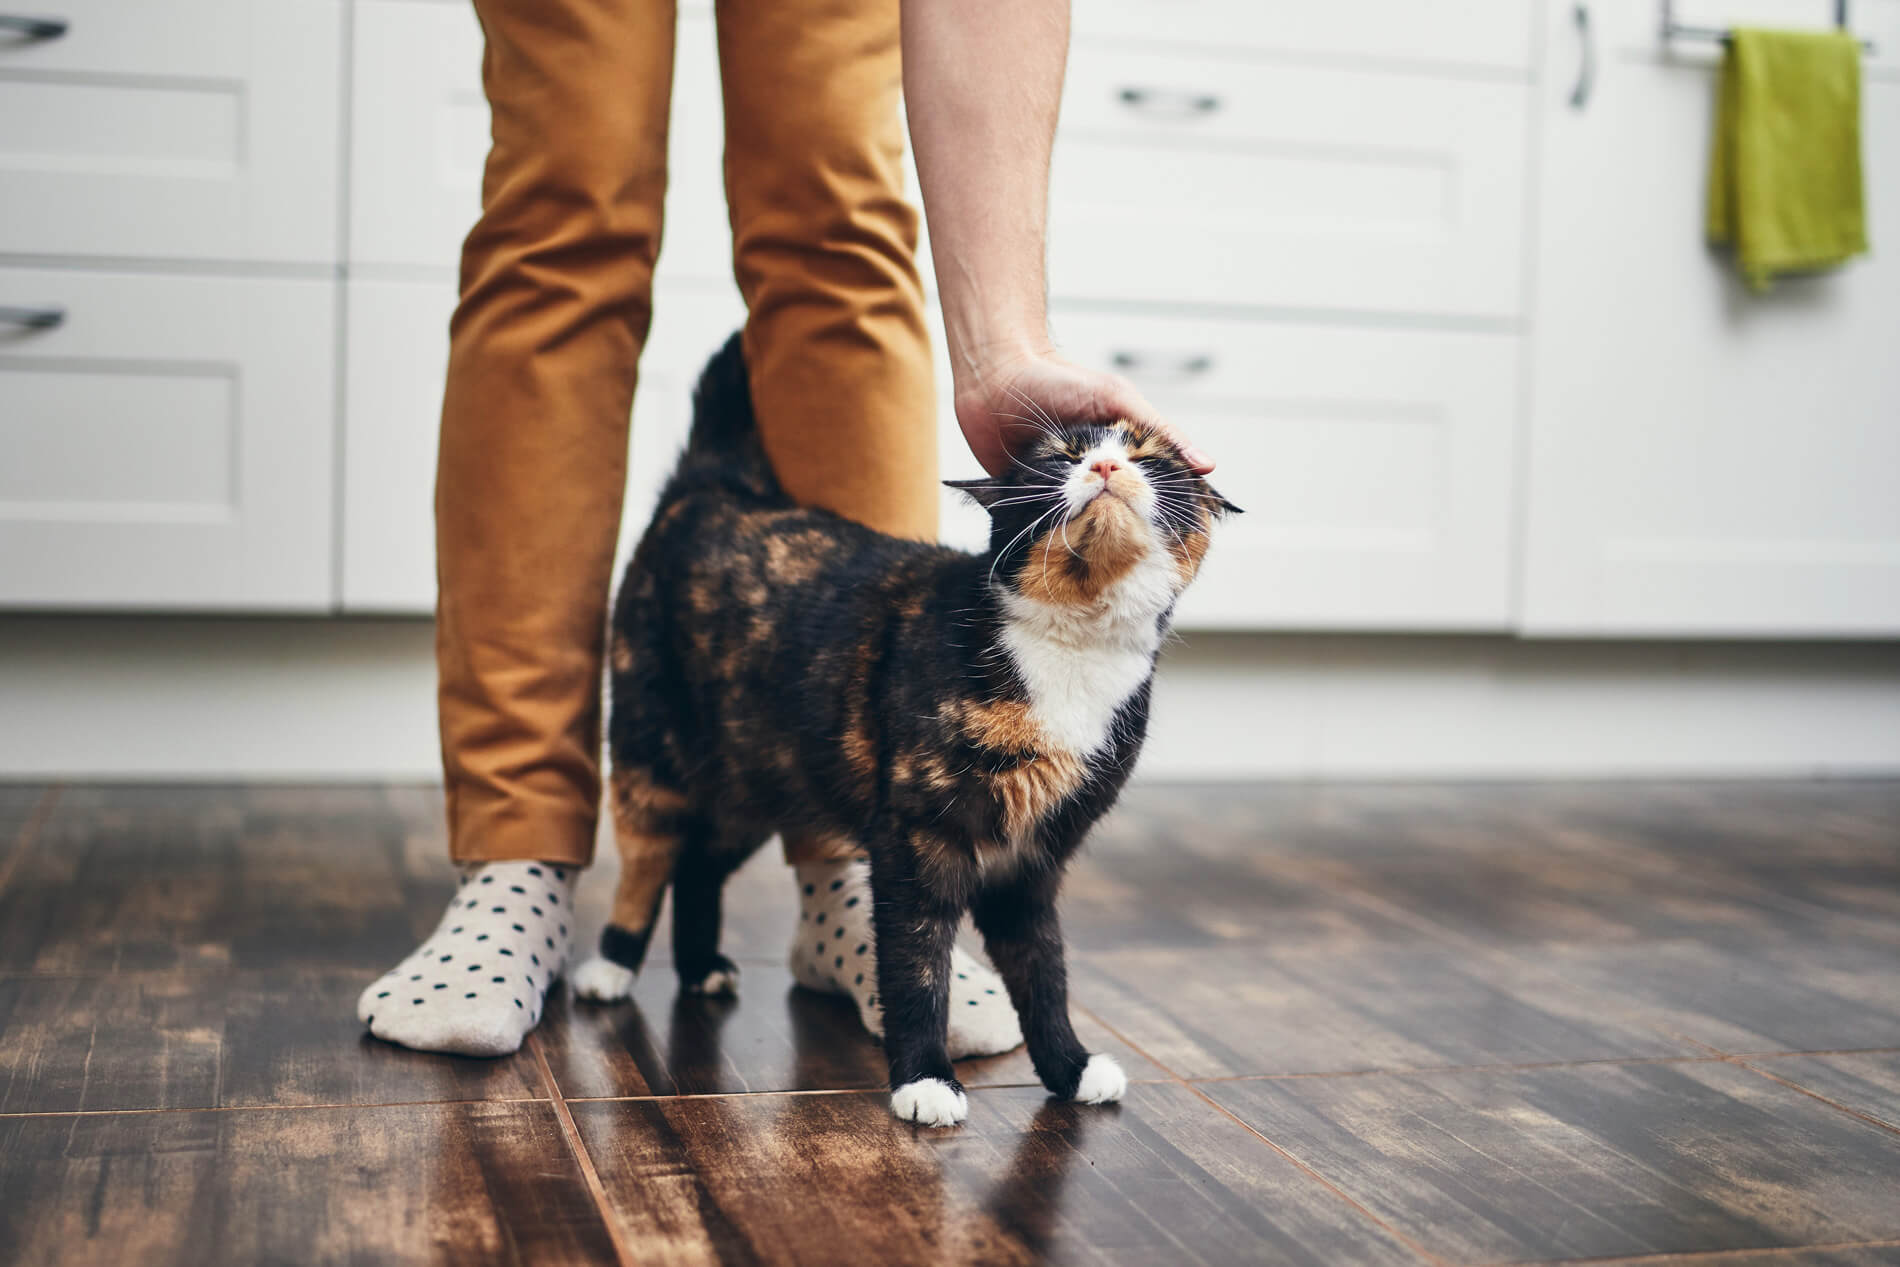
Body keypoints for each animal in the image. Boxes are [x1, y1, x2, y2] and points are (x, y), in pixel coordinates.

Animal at [573, 332, 1231, 1124]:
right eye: (1061, 455)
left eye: (1147, 455)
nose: (1104, 466)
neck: (1072, 648)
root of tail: (714, 487)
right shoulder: (917, 839)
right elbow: (917, 966)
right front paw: (924, 1079)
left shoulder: (1034, 860)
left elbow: (1045, 972)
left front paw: (1069, 1067)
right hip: (654, 753)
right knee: (648, 859)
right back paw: (610, 964)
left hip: (760, 779)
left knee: (700, 862)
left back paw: (700, 966)